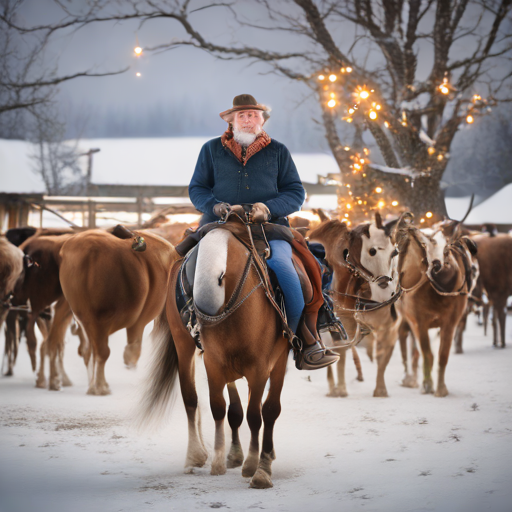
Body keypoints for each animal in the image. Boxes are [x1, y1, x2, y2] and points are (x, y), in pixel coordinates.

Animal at [59, 229, 176, 396]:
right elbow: (129, 348)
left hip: (89, 320)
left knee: (91, 352)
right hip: (98, 321)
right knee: (101, 352)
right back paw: (101, 386)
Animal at [139, 227, 292, 488]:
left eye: (221, 276)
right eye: (188, 278)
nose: (194, 319)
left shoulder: (263, 366)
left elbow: (260, 413)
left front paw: (257, 466)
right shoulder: (213, 362)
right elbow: (218, 407)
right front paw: (218, 459)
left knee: (260, 410)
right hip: (194, 350)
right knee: (199, 400)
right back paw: (205, 453)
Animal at [396, 213, 476, 396]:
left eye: (447, 247)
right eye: (425, 245)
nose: (437, 266)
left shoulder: (450, 323)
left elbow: (442, 355)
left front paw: (440, 388)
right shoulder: (419, 321)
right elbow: (427, 353)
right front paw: (427, 384)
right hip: (407, 317)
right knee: (404, 336)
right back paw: (408, 376)